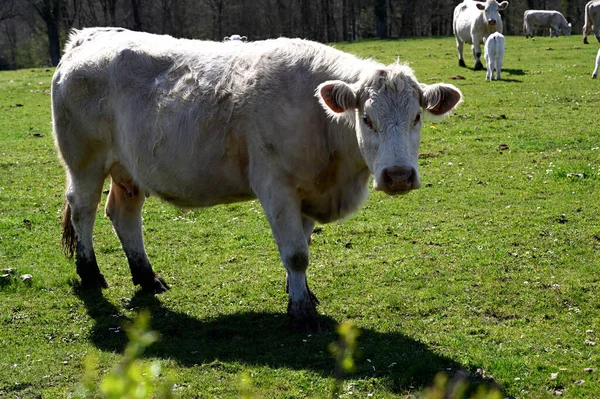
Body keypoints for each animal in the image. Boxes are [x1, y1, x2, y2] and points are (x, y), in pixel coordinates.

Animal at [52, 25, 464, 332]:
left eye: (416, 117)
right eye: (367, 119)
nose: (398, 175)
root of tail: (86, 38)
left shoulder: (307, 190)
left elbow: (302, 247)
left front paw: (301, 294)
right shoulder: (276, 186)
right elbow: (296, 253)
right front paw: (302, 312)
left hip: (129, 170)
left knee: (123, 214)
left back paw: (146, 276)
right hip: (84, 161)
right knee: (84, 210)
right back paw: (90, 273)